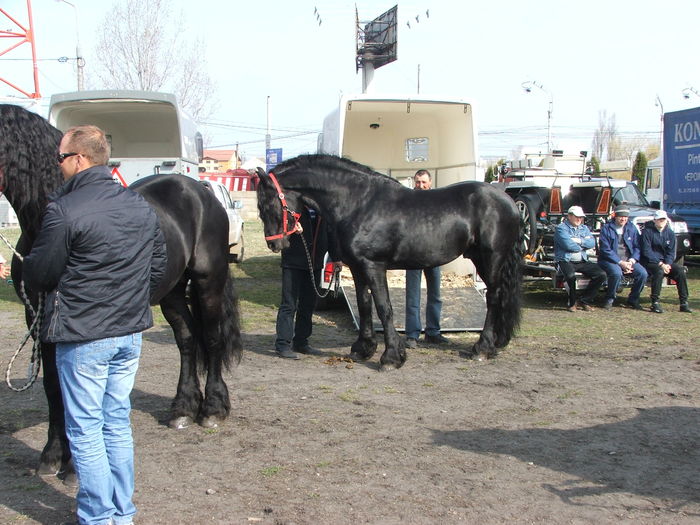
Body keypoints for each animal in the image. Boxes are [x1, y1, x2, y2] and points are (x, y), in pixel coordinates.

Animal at [0, 104, 242, 482]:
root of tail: (198, 190)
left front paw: (75, 468)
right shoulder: (40, 321)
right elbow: (54, 387)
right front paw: (52, 455)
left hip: (208, 281)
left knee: (213, 339)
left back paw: (212, 410)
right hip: (172, 293)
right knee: (187, 340)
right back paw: (183, 409)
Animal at [258, 155, 520, 368]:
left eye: (267, 205)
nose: (274, 244)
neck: (358, 203)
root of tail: (508, 201)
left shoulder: (374, 266)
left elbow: (384, 308)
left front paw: (391, 357)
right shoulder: (358, 268)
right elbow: (364, 306)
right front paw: (363, 349)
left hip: (491, 258)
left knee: (494, 297)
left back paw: (482, 348)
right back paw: (495, 344)